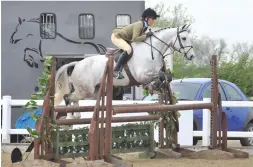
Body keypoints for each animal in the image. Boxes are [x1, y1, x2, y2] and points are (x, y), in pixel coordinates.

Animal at [54, 24, 195, 119]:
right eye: (183, 38)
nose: (192, 56)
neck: (151, 49)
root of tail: (77, 64)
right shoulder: (142, 75)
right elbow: (160, 76)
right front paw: (155, 85)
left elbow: (166, 77)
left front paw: (156, 86)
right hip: (85, 90)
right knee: (68, 97)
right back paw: (69, 117)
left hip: (92, 91)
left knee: (74, 100)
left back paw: (76, 116)